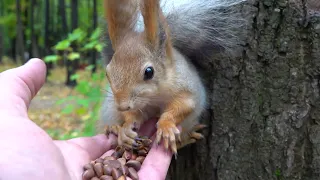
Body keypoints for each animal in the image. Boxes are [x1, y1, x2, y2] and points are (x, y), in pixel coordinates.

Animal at [99, 0, 249, 155]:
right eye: (107, 72)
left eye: (149, 72)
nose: (122, 106)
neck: (154, 97)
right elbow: (133, 115)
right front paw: (126, 129)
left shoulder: (186, 89)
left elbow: (182, 106)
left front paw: (165, 126)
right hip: (109, 107)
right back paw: (113, 127)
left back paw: (186, 138)